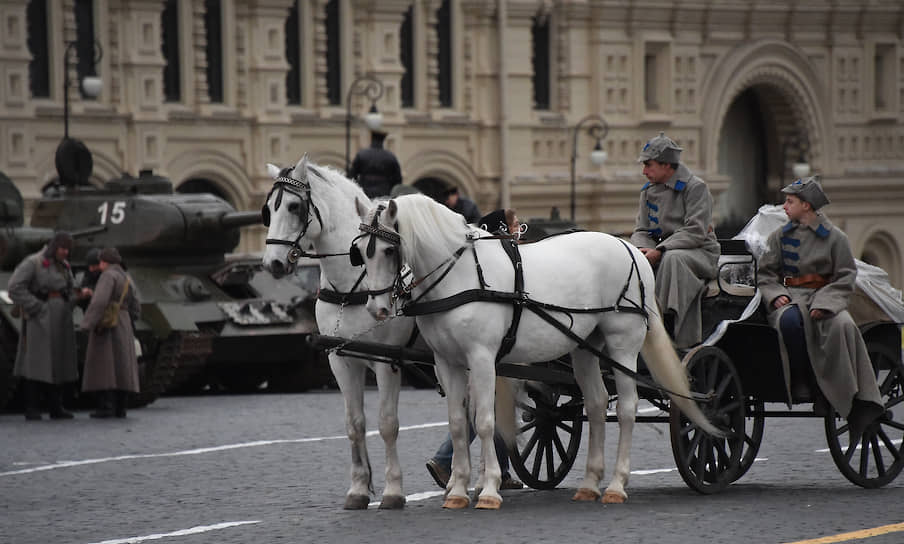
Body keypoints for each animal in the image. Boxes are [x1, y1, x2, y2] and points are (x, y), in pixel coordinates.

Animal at [262, 156, 416, 510]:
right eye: (268, 209)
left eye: (293, 207)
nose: (272, 264)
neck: (352, 288)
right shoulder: (341, 360)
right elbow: (354, 424)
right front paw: (358, 489)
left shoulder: (387, 363)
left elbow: (387, 424)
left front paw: (393, 490)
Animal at [354, 194, 720, 510]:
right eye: (359, 252)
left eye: (388, 250)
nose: (376, 309)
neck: (461, 275)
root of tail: (631, 248)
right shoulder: (447, 363)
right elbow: (458, 424)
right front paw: (456, 492)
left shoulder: (482, 358)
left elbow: (484, 421)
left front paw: (489, 490)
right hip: (586, 347)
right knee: (597, 404)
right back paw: (590, 484)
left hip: (622, 345)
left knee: (627, 409)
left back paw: (616, 485)